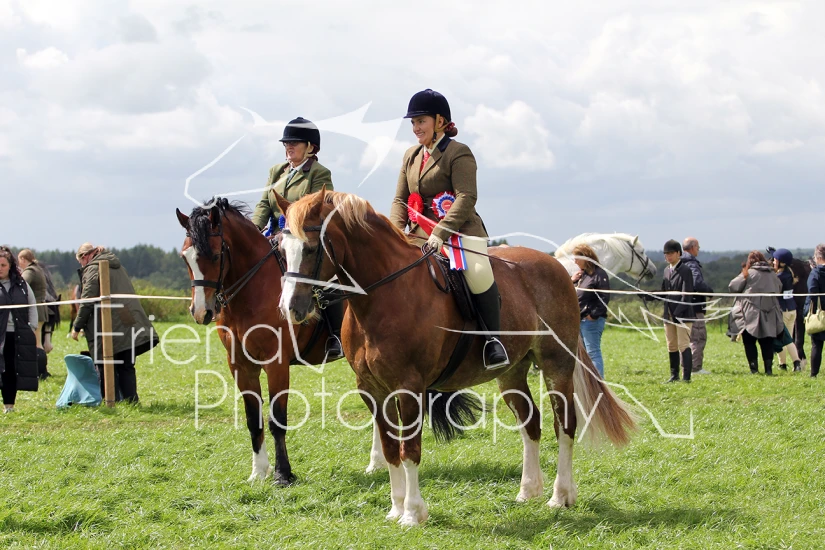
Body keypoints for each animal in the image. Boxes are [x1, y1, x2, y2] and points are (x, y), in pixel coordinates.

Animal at [175, 198, 331, 485]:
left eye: (216, 255)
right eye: (185, 257)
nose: (201, 312)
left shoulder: (276, 364)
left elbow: (276, 419)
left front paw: (283, 474)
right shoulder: (241, 367)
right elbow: (253, 419)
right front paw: (258, 472)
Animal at [276, 189, 636, 526]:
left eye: (312, 248)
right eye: (281, 250)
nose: (291, 308)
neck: (381, 296)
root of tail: (557, 266)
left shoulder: (409, 387)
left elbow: (410, 449)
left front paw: (412, 513)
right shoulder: (371, 389)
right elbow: (391, 448)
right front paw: (395, 509)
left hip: (555, 364)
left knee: (565, 424)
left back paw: (561, 496)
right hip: (512, 372)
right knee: (531, 422)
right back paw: (528, 490)